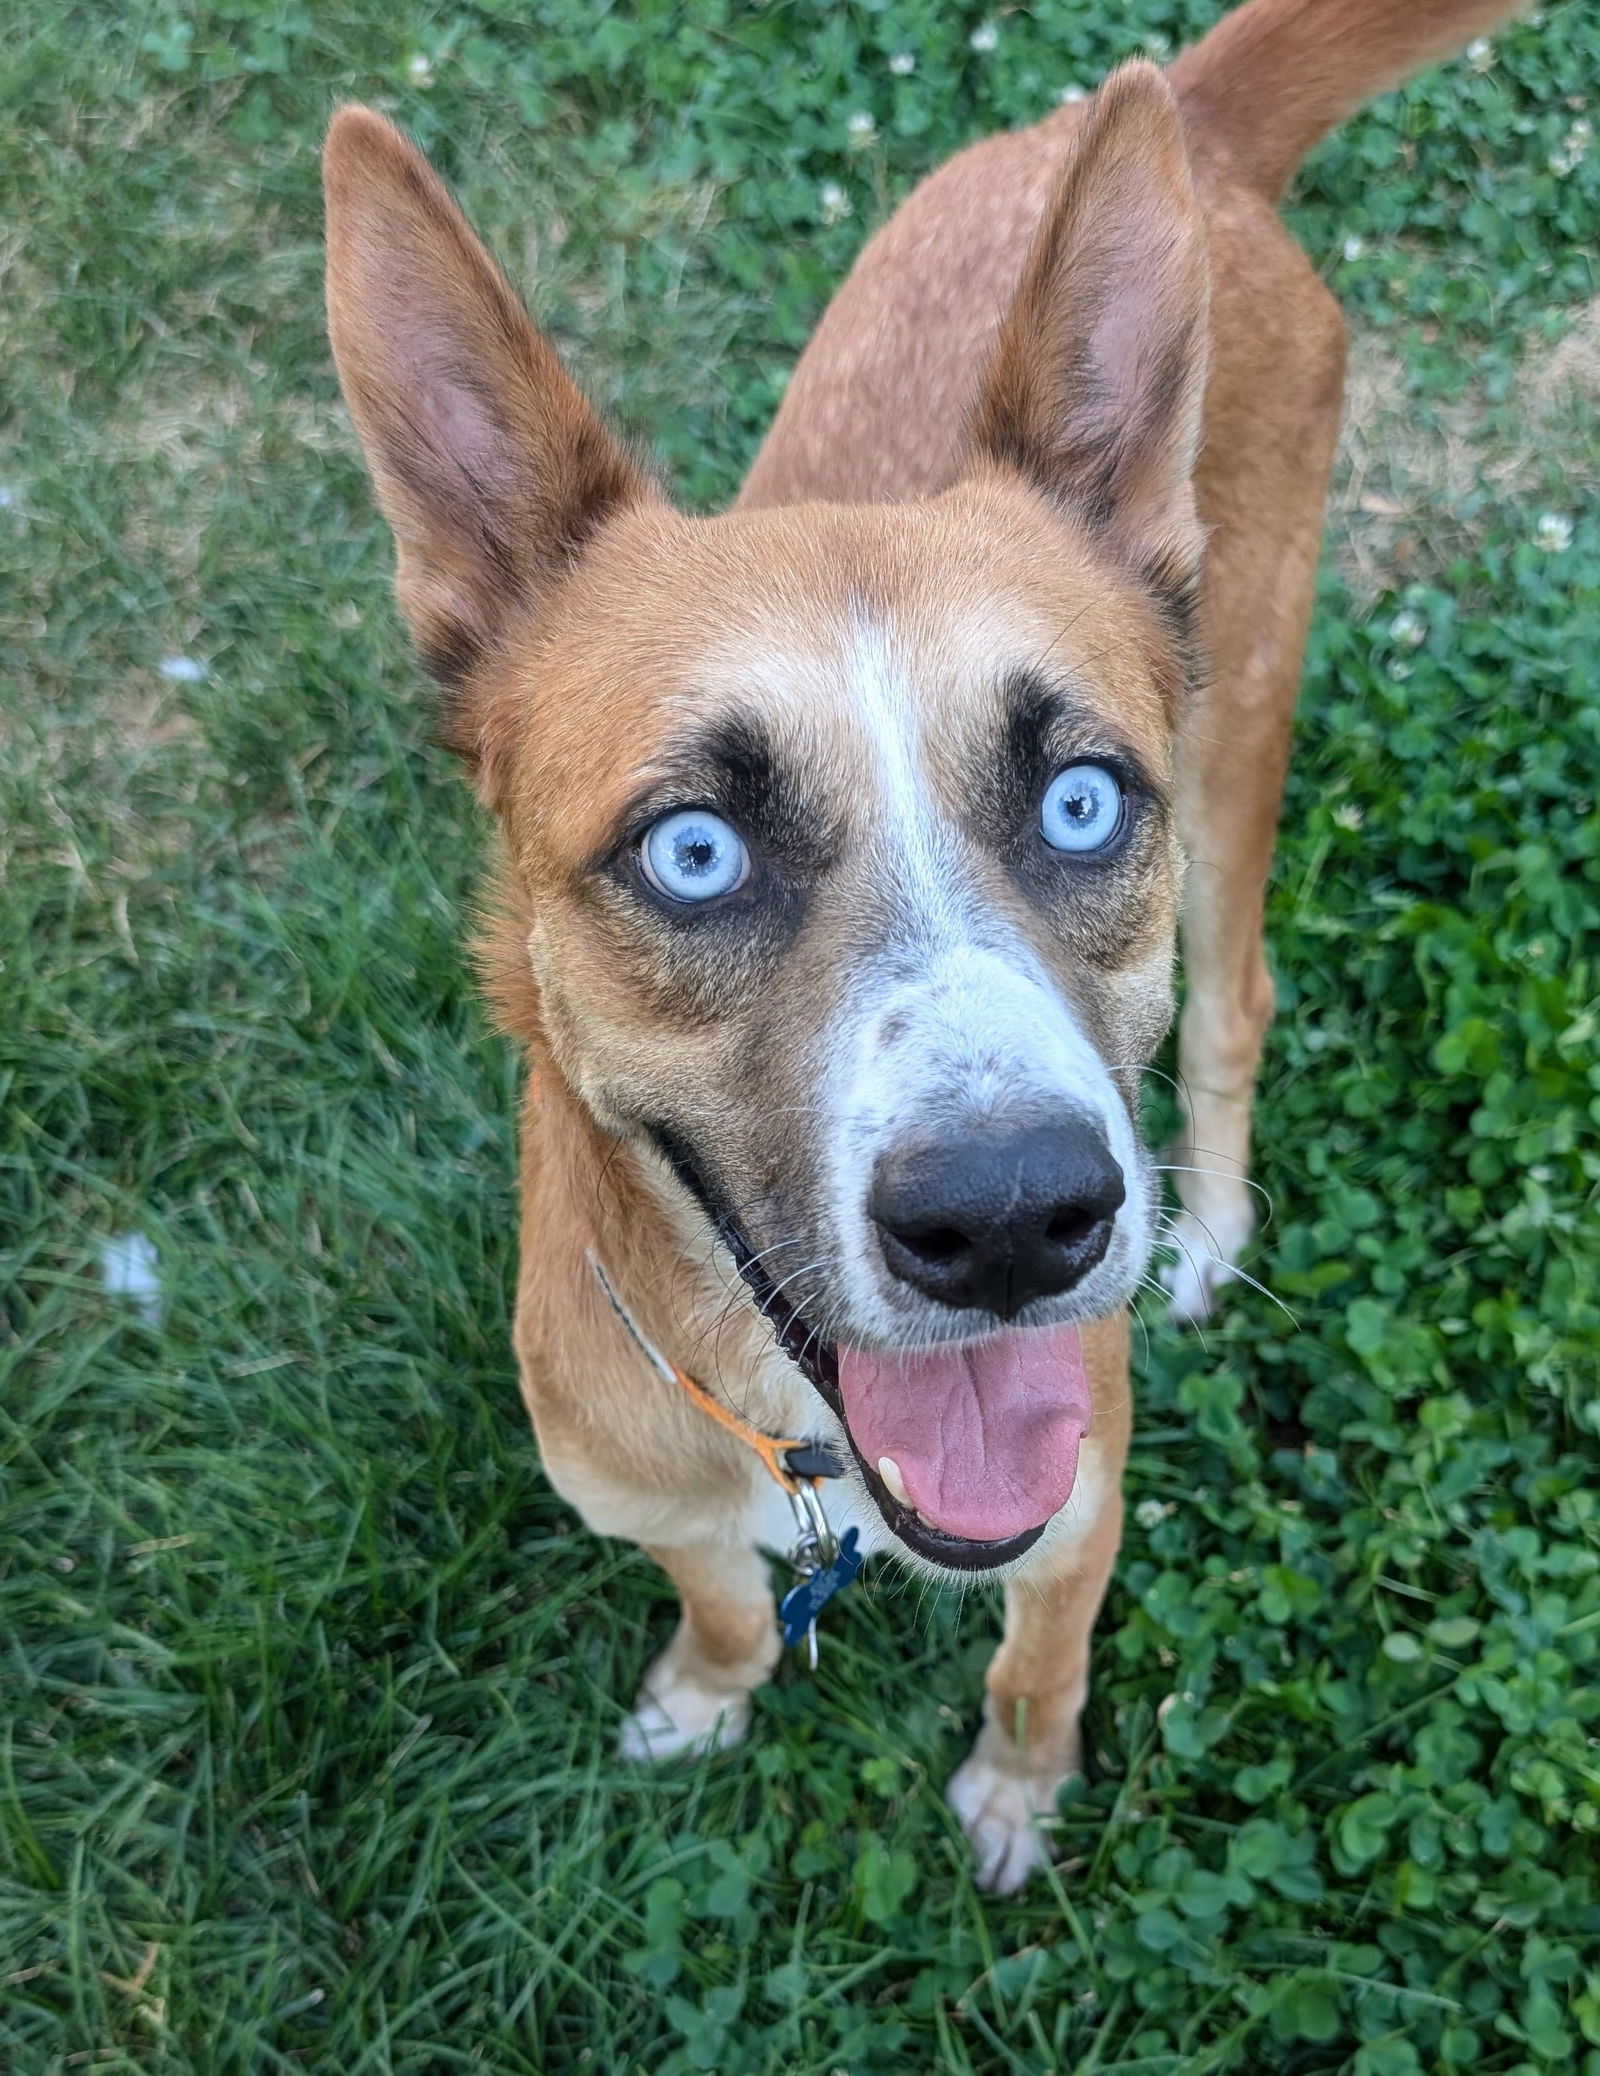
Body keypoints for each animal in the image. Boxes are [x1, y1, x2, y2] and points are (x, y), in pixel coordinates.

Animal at [321, 0, 1510, 1893]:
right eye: (695, 850)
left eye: (1080, 802)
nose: (1018, 1219)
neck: (806, 1445)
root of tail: (1201, 119)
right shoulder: (651, 1498)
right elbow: (719, 1599)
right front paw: (706, 1690)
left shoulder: (1077, 1512)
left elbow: (1042, 1660)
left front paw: (1018, 1791)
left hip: (1241, 728)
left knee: (1237, 1007)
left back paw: (1211, 1229)